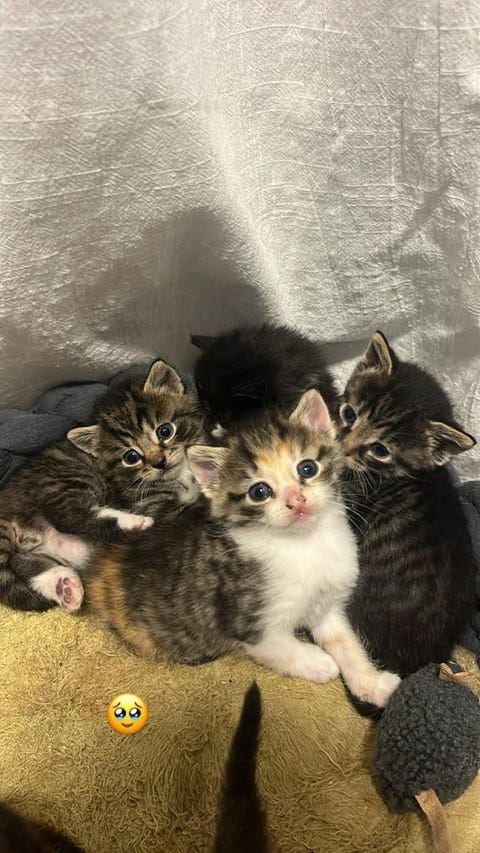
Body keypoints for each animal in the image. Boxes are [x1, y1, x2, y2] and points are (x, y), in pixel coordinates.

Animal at [0, 360, 205, 613]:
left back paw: (64, 585)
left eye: (165, 431)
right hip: (69, 478)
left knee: (20, 561)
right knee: (70, 516)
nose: (160, 462)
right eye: (131, 456)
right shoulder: (150, 504)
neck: (179, 473)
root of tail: (7, 498)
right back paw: (134, 523)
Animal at [86, 388, 400, 707]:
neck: (305, 543)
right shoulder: (248, 620)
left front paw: (372, 684)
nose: (296, 500)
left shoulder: (327, 602)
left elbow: (344, 642)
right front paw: (319, 663)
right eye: (259, 491)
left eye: (307, 467)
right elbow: (281, 648)